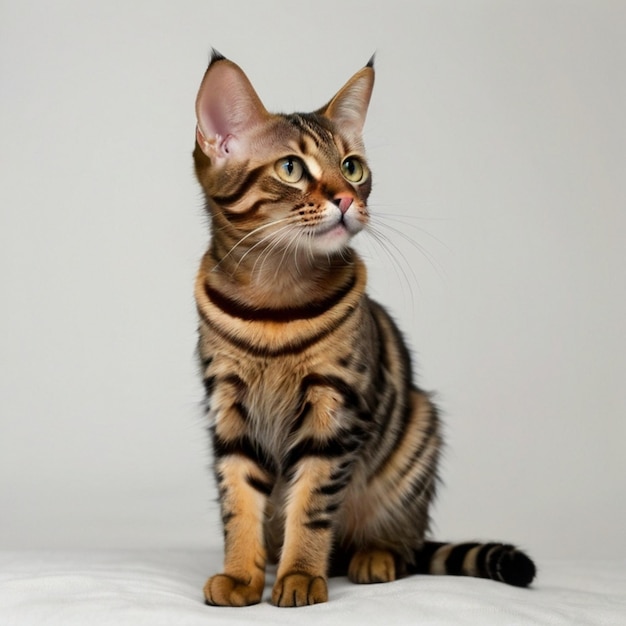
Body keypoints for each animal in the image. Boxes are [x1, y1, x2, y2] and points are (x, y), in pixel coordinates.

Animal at [190, 51, 532, 608]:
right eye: (290, 168)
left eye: (353, 167)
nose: (348, 199)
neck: (273, 300)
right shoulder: (228, 408)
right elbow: (238, 503)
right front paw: (241, 575)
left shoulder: (334, 412)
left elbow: (311, 506)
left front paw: (300, 576)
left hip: (417, 431)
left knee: (402, 543)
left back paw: (374, 556)